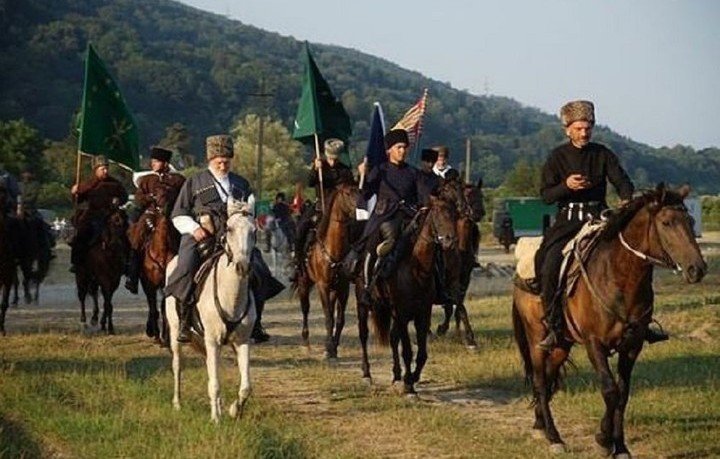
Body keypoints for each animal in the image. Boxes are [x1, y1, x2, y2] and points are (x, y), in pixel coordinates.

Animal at [165, 200, 258, 424]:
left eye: (254, 230)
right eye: (229, 228)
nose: (243, 267)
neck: (231, 295)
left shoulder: (242, 341)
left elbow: (246, 386)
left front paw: (234, 411)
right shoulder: (213, 341)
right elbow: (214, 384)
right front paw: (216, 419)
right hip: (175, 332)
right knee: (177, 365)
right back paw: (177, 403)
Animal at [294, 183, 358, 360]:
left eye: (360, 191)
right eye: (347, 193)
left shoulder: (343, 288)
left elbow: (340, 319)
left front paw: (334, 347)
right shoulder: (322, 285)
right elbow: (328, 317)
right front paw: (328, 349)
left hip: (333, 289)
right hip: (304, 283)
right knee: (305, 308)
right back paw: (306, 343)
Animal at [358, 195, 458, 396]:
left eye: (454, 214)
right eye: (437, 213)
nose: (450, 241)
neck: (416, 268)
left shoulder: (423, 313)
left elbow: (422, 354)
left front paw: (411, 378)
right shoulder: (402, 313)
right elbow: (407, 351)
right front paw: (409, 385)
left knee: (392, 337)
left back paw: (396, 376)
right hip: (363, 305)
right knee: (364, 335)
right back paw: (367, 374)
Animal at [512, 185, 708, 458]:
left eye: (690, 221)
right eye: (667, 222)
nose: (697, 269)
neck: (619, 277)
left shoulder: (632, 346)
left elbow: (623, 394)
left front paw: (620, 445)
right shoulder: (595, 344)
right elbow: (610, 390)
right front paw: (604, 440)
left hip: (562, 343)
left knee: (549, 377)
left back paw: (540, 423)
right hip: (536, 337)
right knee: (540, 380)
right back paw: (553, 437)